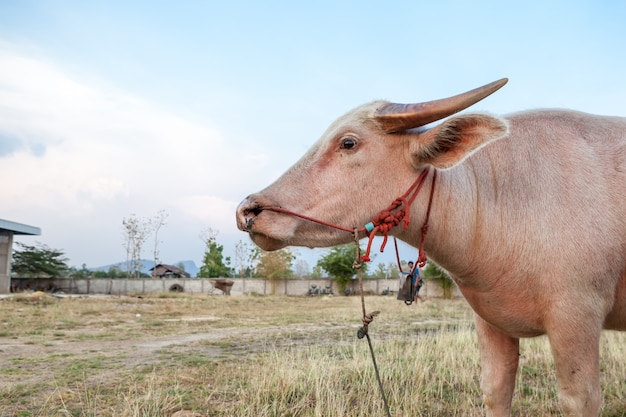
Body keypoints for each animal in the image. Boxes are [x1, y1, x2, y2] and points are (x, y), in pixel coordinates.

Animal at [235, 79, 624, 416]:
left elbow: (580, 400)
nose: (248, 210)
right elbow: (495, 391)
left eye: (348, 143)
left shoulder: (577, 317)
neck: (503, 204)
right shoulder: (490, 321)